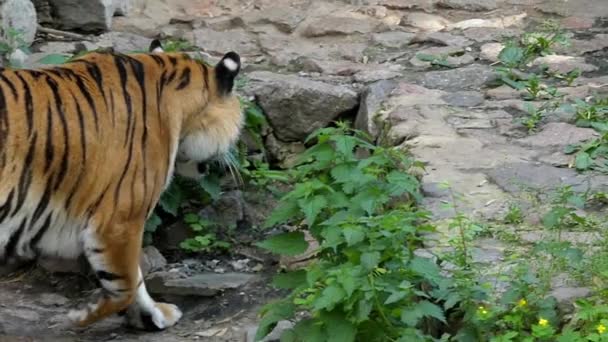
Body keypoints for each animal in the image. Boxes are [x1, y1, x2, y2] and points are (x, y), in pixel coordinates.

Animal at [0, 40, 242, 332]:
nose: (230, 160)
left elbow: (135, 279)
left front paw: (153, 315)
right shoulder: (120, 218)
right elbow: (126, 282)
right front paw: (83, 315)